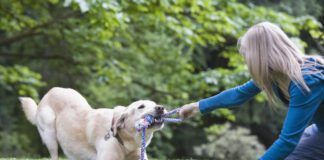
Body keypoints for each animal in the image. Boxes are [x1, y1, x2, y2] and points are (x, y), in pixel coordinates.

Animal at [19, 87, 166, 160]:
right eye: (141, 106)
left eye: (155, 103)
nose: (161, 107)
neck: (125, 143)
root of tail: (48, 93)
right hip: (50, 135)